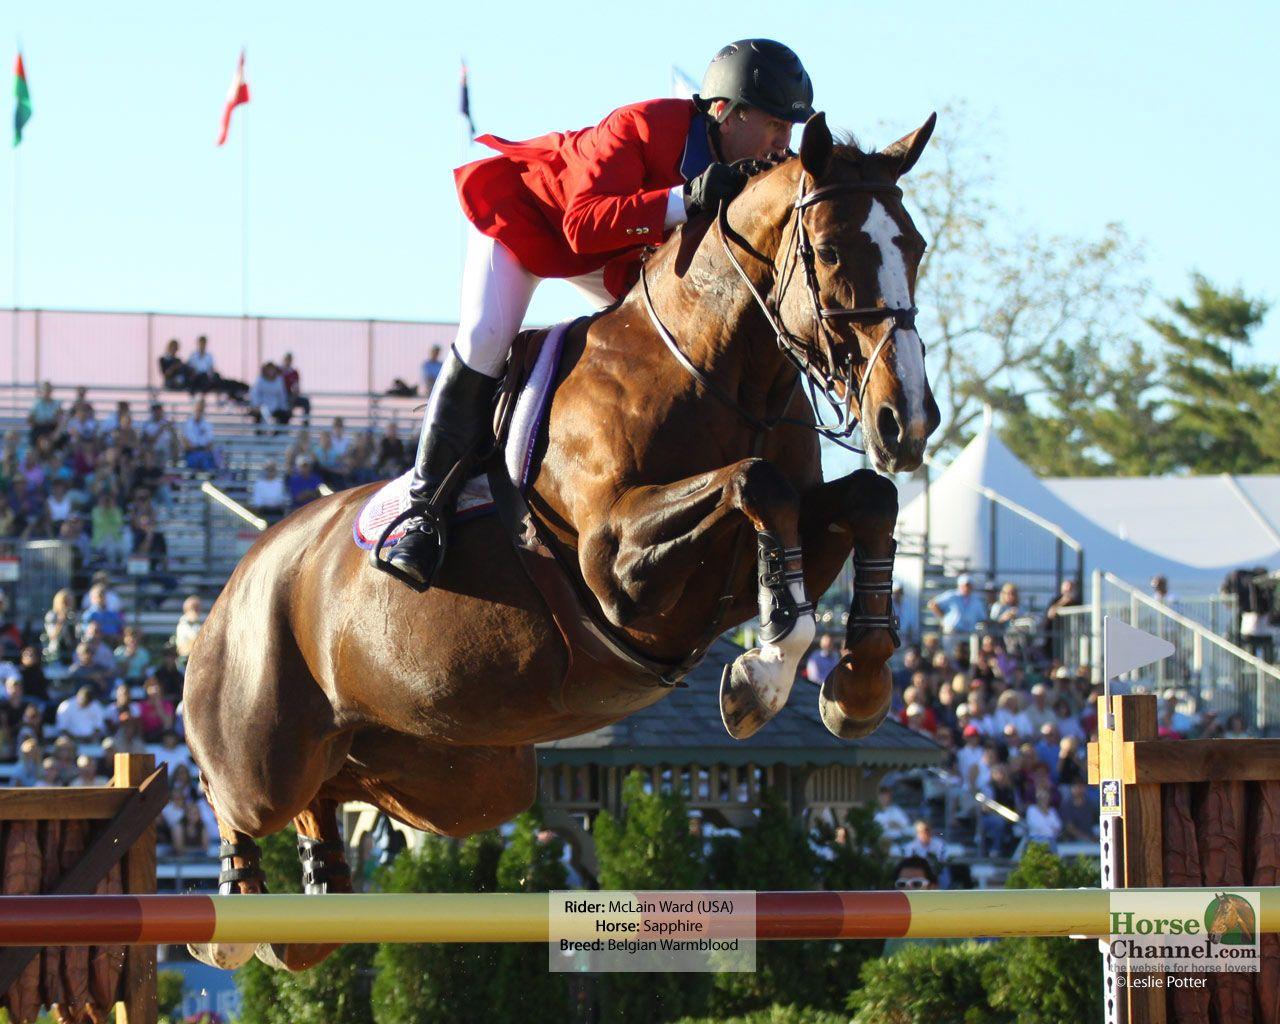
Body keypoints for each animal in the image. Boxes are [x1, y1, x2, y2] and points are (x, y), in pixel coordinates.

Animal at [182, 111, 941, 972]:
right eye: (834, 250)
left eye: (915, 246)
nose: (907, 421)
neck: (716, 375)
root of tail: (241, 575)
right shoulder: (617, 568)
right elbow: (757, 486)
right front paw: (764, 672)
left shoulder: (765, 546)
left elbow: (864, 499)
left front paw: (856, 686)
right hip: (263, 748)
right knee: (236, 797)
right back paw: (236, 911)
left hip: (459, 777)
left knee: (336, 795)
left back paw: (315, 893)